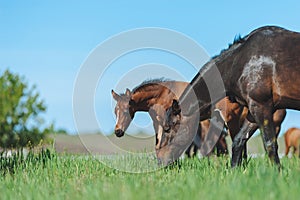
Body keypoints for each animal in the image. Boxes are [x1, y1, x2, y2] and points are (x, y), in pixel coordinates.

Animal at [157, 25, 298, 168]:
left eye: (167, 128)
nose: (160, 160)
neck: (241, 61)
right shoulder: (254, 111)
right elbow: (238, 140)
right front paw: (234, 169)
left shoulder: (261, 106)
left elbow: (270, 144)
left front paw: (277, 172)